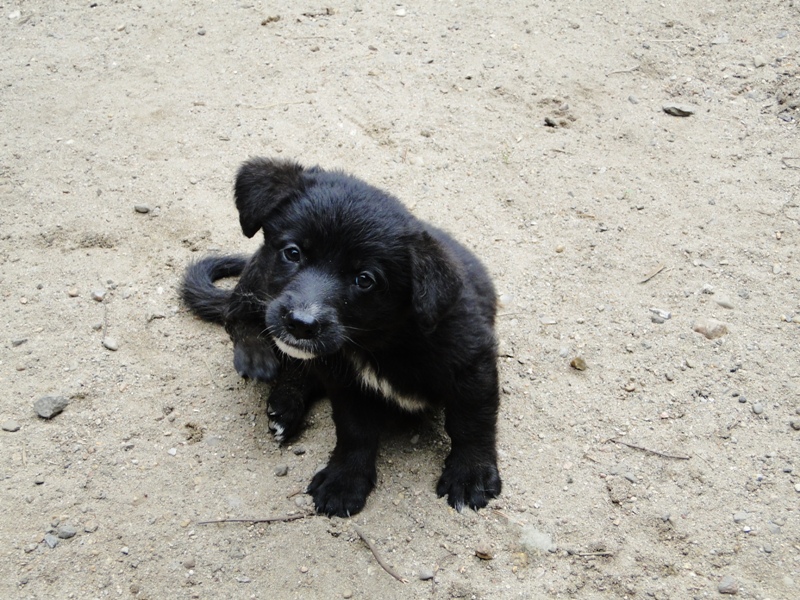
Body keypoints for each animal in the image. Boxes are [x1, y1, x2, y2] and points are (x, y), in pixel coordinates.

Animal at [181, 157, 501, 517]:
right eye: (293, 253)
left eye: (364, 279)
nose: (301, 324)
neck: (381, 340)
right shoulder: (347, 383)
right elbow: (354, 431)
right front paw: (345, 480)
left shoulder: (473, 364)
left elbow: (471, 422)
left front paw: (471, 474)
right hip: (258, 272)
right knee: (237, 314)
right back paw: (261, 362)